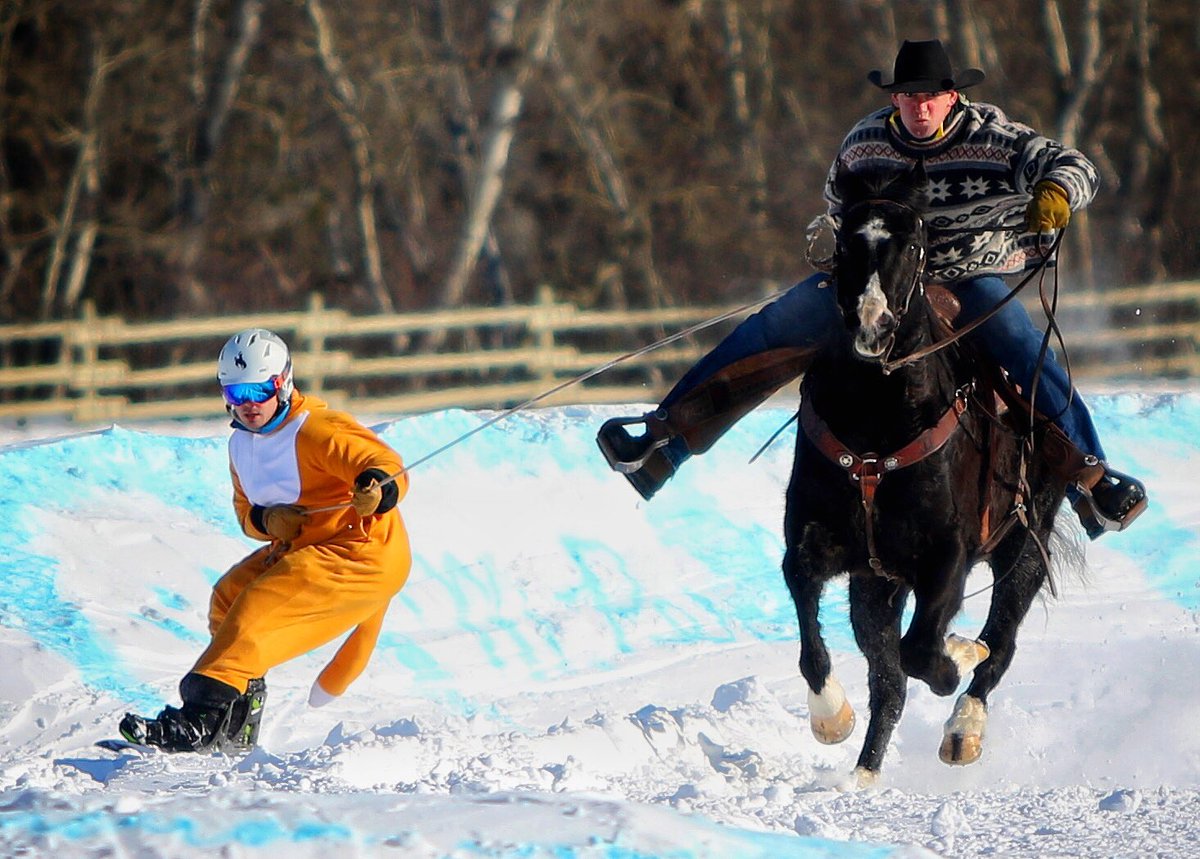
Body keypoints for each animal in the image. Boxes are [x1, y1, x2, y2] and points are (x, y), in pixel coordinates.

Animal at [782, 163, 1068, 784]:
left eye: (913, 242)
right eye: (844, 242)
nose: (872, 325)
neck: (878, 423)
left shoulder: (946, 554)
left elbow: (923, 651)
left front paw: (956, 654)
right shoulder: (819, 541)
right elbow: (807, 607)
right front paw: (829, 716)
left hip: (1024, 543)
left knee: (998, 642)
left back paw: (964, 726)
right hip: (875, 584)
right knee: (888, 684)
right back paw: (862, 775)